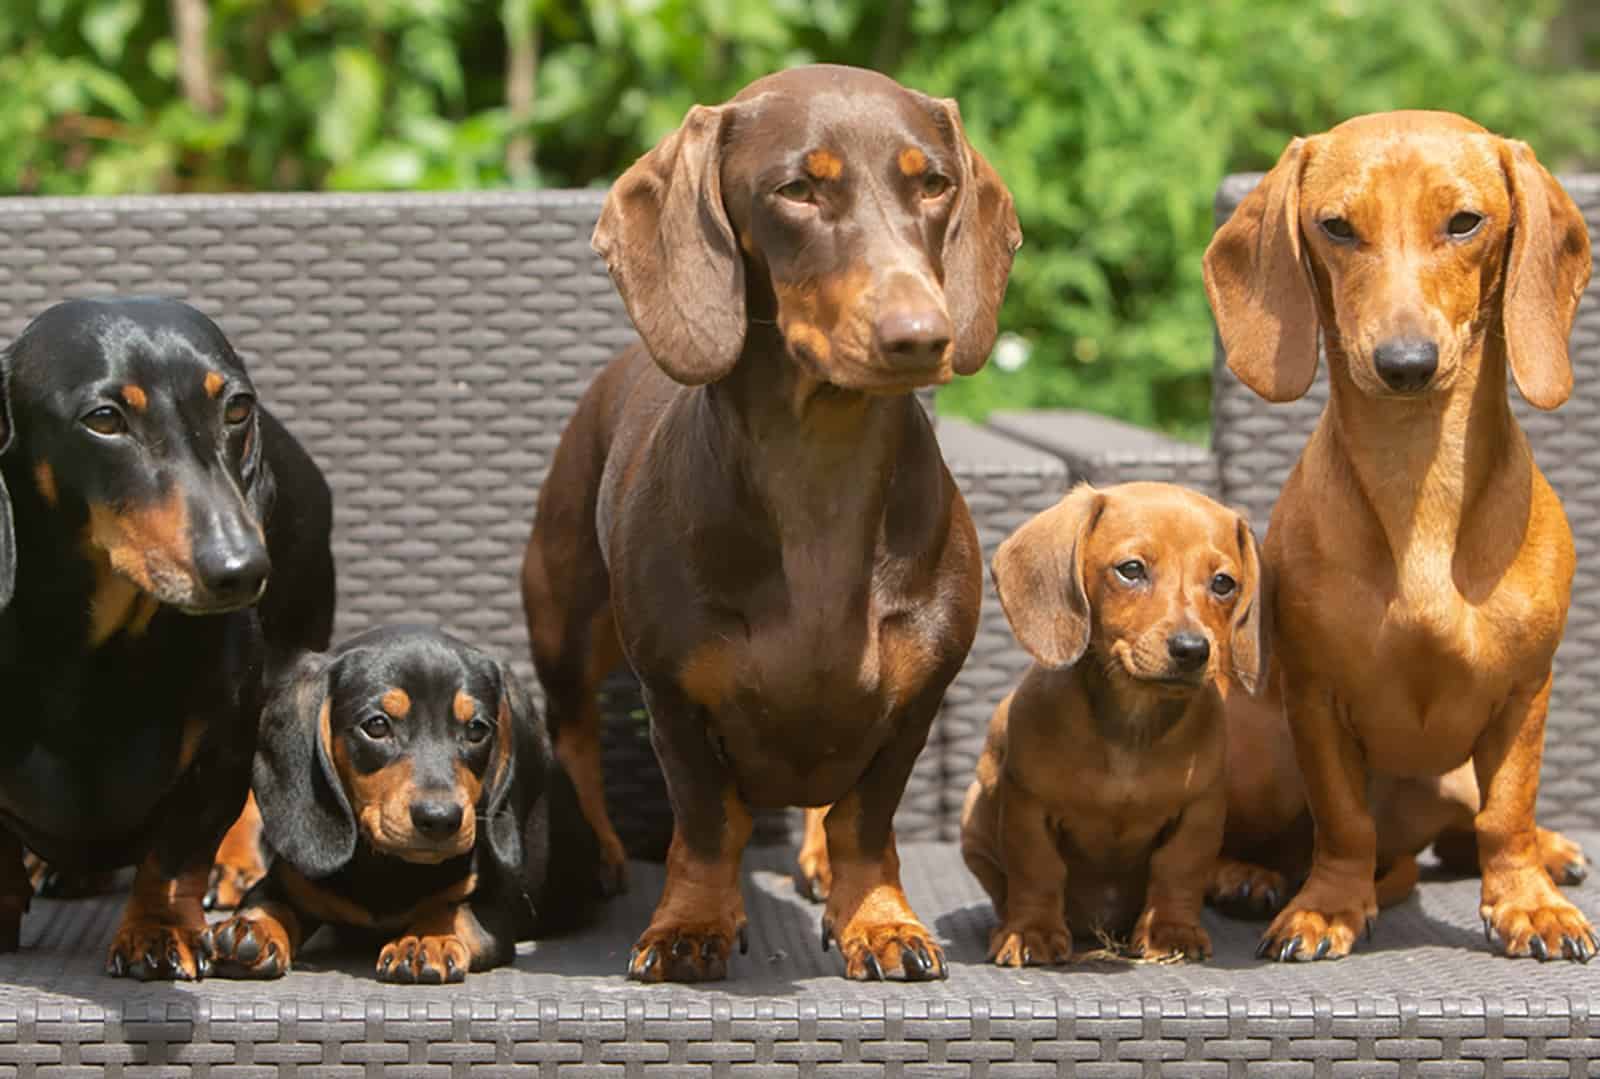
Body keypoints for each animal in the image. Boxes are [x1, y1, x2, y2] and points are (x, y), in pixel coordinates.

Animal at [0, 296, 334, 973]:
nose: (243, 570)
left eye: (237, 408)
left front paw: (155, 931)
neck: (92, 655)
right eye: (104, 419)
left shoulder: (218, 757)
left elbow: (176, 854)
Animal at [203, 621, 598, 986]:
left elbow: (456, 912)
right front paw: (249, 929)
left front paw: (427, 939)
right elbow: (267, 902)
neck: (390, 869)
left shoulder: (495, 911)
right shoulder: (289, 883)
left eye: (476, 729)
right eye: (377, 725)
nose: (440, 819)